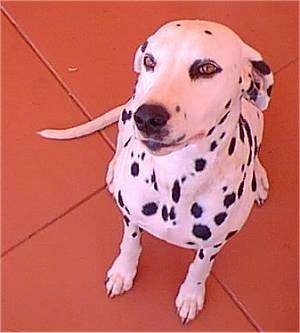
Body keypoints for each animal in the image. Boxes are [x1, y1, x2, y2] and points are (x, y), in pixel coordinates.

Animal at [38, 20, 274, 322]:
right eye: (150, 61)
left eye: (207, 68)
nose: (148, 117)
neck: (177, 179)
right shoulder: (130, 217)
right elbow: (130, 243)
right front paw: (123, 272)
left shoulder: (215, 244)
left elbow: (200, 267)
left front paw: (190, 295)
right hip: (127, 114)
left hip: (257, 115)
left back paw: (259, 177)